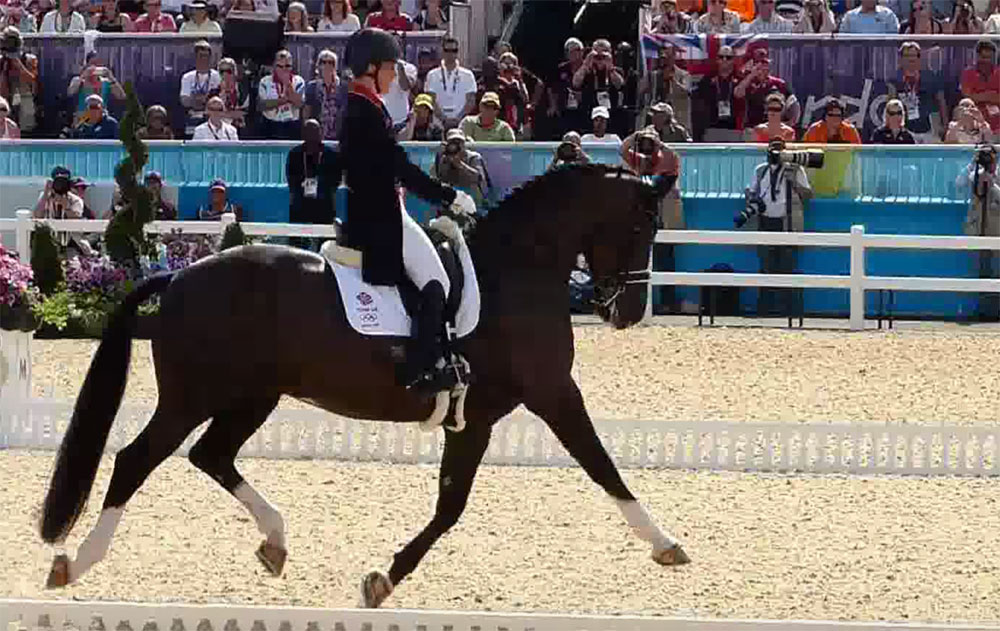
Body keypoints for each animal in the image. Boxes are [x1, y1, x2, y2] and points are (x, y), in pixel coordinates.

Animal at [37, 163, 688, 608]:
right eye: (640, 224)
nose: (628, 311)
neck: (519, 270)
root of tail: (178, 277)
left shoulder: (474, 419)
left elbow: (451, 505)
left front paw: (383, 579)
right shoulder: (553, 392)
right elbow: (602, 466)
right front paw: (665, 543)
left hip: (253, 396)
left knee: (211, 455)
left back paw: (275, 543)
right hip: (193, 397)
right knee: (135, 460)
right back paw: (77, 563)